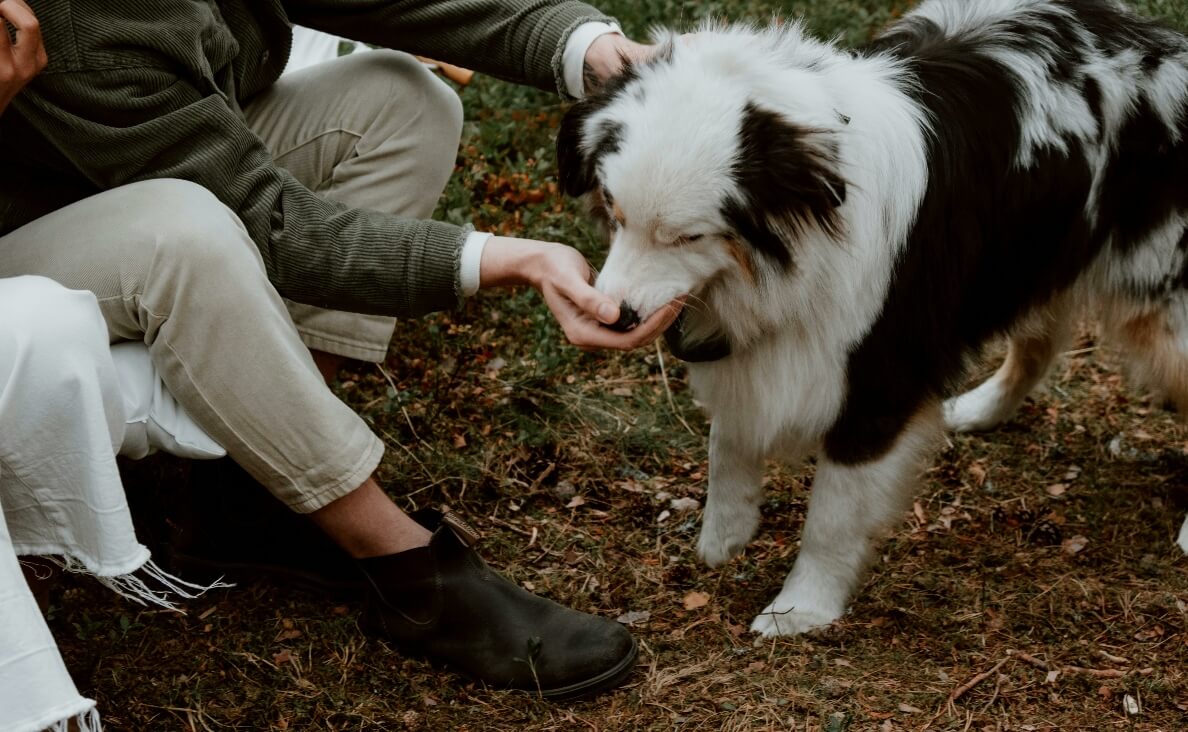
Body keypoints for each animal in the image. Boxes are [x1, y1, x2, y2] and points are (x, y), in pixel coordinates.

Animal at [555, 0, 1188, 636]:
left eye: (689, 236)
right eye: (614, 211)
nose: (615, 317)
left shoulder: (882, 372)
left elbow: (833, 514)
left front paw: (801, 608)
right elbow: (727, 441)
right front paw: (724, 536)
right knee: (1039, 343)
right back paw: (978, 409)